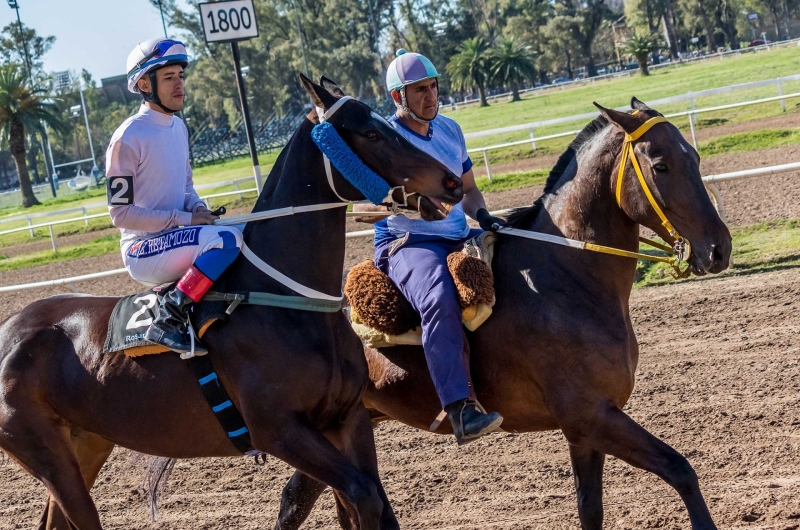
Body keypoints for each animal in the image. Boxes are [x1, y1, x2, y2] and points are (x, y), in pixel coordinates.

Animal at [0, 75, 462, 528]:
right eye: (371, 133)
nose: (453, 181)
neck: (290, 304)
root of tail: (9, 330)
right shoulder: (278, 431)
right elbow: (362, 495)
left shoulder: (346, 417)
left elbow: (378, 505)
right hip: (47, 454)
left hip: (88, 443)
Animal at [278, 98, 736, 524]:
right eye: (661, 165)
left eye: (694, 158)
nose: (719, 249)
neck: (564, 278)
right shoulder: (591, 416)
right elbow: (680, 469)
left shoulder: (583, 431)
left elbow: (590, 508)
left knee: (301, 500)